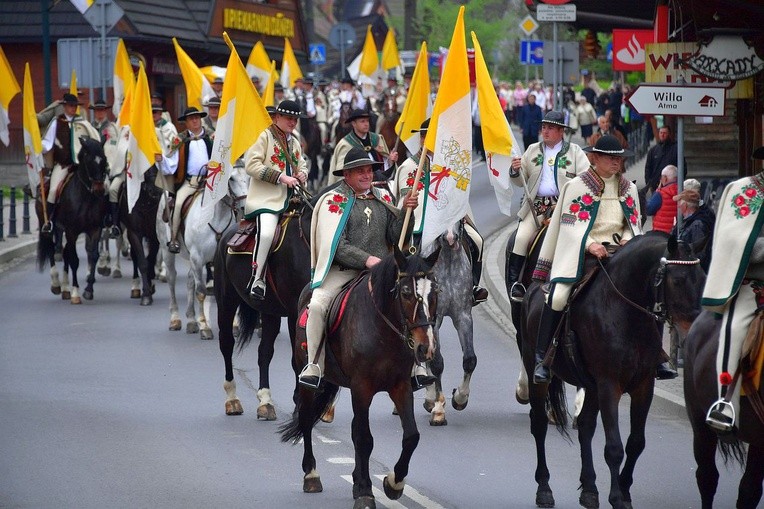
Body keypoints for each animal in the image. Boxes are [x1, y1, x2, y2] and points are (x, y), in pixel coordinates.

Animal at [160, 166, 249, 338]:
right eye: (231, 178)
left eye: (249, 177)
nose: (244, 206)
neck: (216, 218)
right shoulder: (197, 258)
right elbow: (201, 292)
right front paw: (204, 327)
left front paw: (233, 326)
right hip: (167, 251)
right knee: (172, 278)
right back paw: (175, 319)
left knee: (189, 281)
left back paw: (191, 321)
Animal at [280, 247, 438, 508]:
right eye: (406, 293)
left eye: (435, 292)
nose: (426, 348)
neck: (383, 330)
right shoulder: (361, 387)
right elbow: (364, 438)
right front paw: (365, 491)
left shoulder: (400, 386)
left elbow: (411, 436)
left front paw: (393, 483)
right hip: (307, 382)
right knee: (306, 420)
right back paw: (311, 475)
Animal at [520, 233, 704, 508]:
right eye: (678, 280)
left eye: (703, 278)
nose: (694, 331)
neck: (625, 313)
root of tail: (533, 290)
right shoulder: (610, 385)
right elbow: (614, 447)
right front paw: (617, 497)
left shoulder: (643, 386)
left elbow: (636, 442)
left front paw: (624, 490)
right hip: (538, 374)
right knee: (539, 424)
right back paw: (544, 488)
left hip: (591, 386)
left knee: (585, 426)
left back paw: (589, 489)